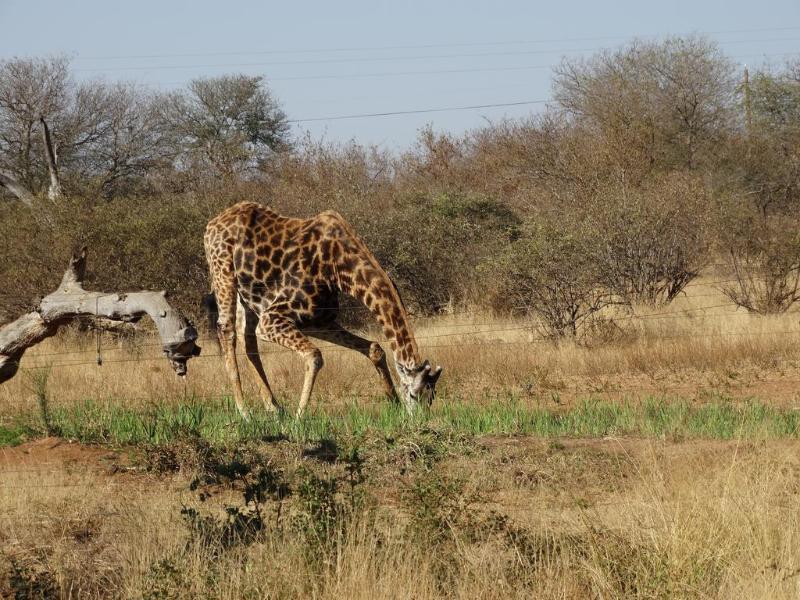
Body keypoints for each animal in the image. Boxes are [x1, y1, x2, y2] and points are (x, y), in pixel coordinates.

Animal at [203, 202, 440, 418]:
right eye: (414, 395)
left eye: (432, 397)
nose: (419, 421)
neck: (339, 269)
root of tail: (211, 224)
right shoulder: (272, 319)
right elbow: (315, 355)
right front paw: (299, 418)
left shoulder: (317, 319)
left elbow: (374, 348)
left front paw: (394, 404)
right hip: (223, 273)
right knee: (227, 331)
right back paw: (245, 412)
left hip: (248, 296)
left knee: (247, 339)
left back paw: (274, 408)